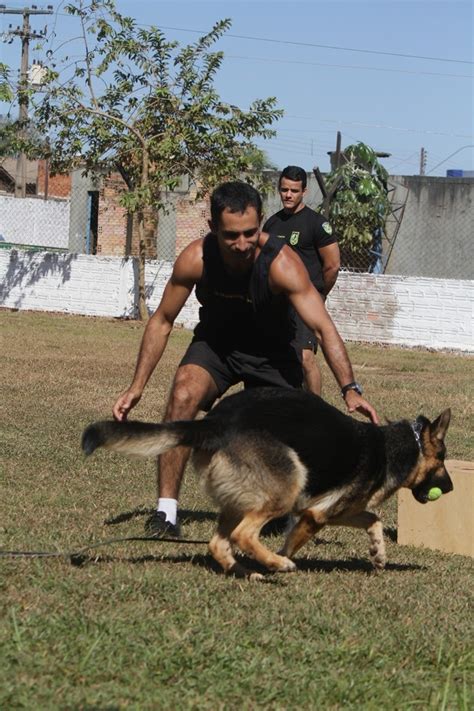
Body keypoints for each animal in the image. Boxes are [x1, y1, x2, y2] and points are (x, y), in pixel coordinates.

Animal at [81, 390, 452, 580]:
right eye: (443, 459)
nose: (449, 489)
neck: (397, 447)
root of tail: (216, 421)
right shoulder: (316, 515)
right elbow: (295, 540)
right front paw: (282, 557)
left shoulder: (333, 509)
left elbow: (373, 519)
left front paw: (378, 554)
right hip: (285, 487)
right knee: (243, 535)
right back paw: (273, 565)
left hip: (237, 500)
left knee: (219, 542)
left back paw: (245, 572)